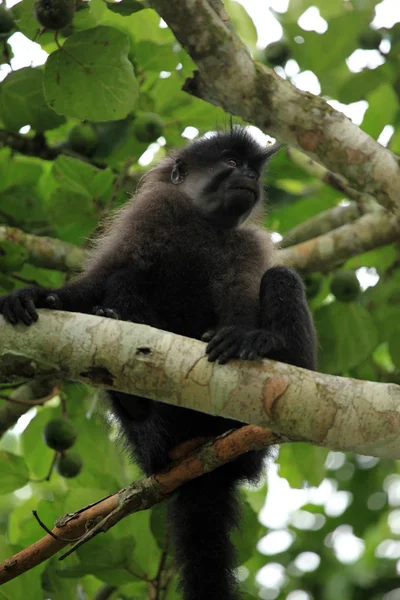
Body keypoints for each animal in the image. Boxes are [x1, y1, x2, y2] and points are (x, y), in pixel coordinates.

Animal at [1, 127, 318, 600]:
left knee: (282, 280)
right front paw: (37, 295)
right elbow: (101, 278)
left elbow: (244, 296)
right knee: (126, 280)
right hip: (151, 443)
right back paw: (136, 405)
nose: (248, 176)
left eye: (252, 168)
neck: (202, 223)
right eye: (231, 162)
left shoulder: (242, 244)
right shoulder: (148, 216)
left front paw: (251, 337)